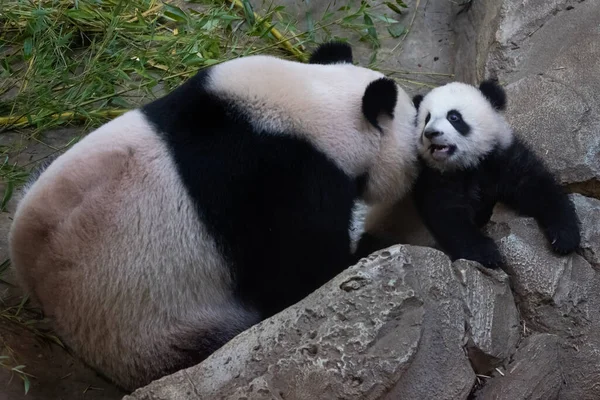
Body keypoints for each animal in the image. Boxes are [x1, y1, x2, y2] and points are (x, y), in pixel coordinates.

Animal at [10, 42, 422, 392]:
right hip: (164, 331)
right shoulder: (285, 183)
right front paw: (367, 249)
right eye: (417, 121)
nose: (415, 171)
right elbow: (304, 272)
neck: (313, 103)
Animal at [356, 79, 580, 268]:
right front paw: (487, 253)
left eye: (454, 117)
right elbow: (449, 215)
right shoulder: (432, 177)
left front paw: (565, 237)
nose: (431, 133)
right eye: (426, 118)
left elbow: (536, 186)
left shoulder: (500, 157)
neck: (467, 164)